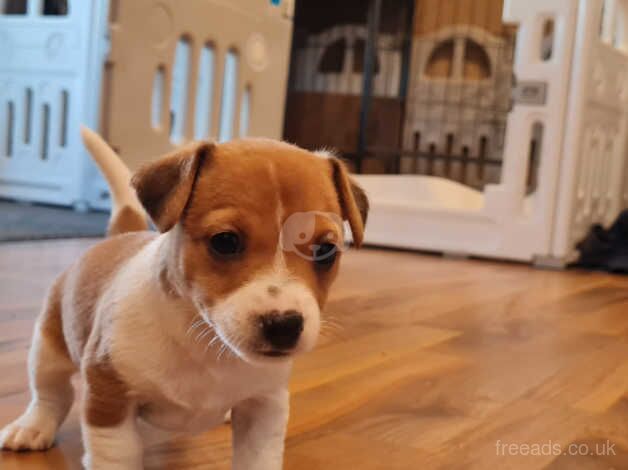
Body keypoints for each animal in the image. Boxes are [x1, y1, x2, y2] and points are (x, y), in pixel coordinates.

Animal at [0, 129, 368, 470]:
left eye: (326, 250)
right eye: (225, 241)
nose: (284, 326)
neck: (203, 342)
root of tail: (122, 236)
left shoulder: (264, 406)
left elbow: (258, 457)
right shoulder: (109, 396)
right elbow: (116, 455)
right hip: (48, 350)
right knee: (51, 395)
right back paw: (32, 427)